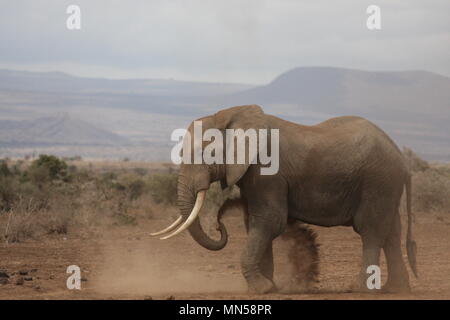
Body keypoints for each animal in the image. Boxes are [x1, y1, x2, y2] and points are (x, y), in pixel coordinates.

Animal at [152, 104, 418, 292]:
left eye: (201, 153)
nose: (218, 227)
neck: (230, 115)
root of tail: (402, 160)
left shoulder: (269, 171)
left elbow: (270, 221)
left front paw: (261, 289)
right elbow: (256, 222)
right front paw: (269, 287)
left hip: (378, 181)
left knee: (371, 230)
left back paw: (360, 289)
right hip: (385, 185)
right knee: (391, 231)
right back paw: (395, 290)